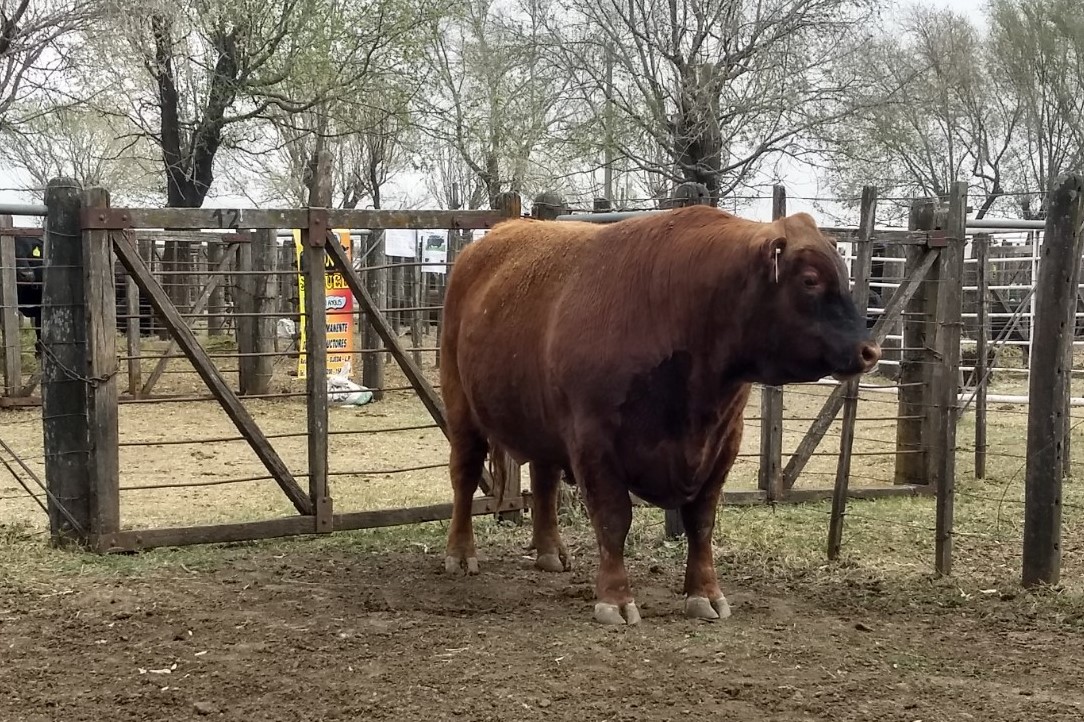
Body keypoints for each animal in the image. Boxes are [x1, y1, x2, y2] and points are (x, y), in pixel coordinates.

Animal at [437, 204, 880, 620]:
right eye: (810, 280)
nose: (870, 351)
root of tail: (497, 234)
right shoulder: (593, 439)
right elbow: (613, 519)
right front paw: (615, 600)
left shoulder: (725, 440)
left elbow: (701, 521)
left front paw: (706, 594)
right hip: (460, 405)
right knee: (464, 474)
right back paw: (460, 553)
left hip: (541, 419)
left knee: (544, 478)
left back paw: (551, 553)